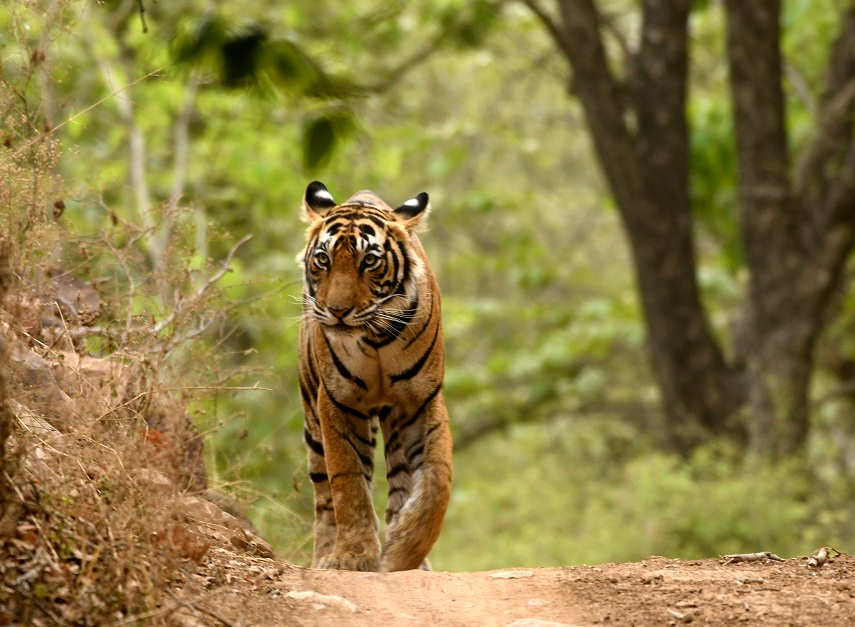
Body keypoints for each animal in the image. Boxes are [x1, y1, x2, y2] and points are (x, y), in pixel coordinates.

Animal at [297, 181, 452, 572]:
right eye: (323, 260)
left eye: (369, 261)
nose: (337, 311)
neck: (376, 337)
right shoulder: (337, 402)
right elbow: (348, 482)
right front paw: (353, 557)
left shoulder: (421, 401)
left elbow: (436, 481)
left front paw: (403, 552)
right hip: (313, 423)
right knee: (324, 497)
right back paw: (324, 555)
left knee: (400, 481)